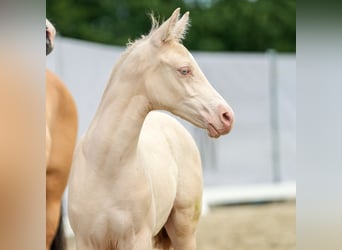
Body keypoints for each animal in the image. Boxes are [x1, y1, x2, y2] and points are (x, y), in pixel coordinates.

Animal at [68, 8, 234, 250]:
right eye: (184, 70)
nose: (226, 116)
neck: (105, 168)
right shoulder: (86, 242)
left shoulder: (139, 239)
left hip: (184, 230)